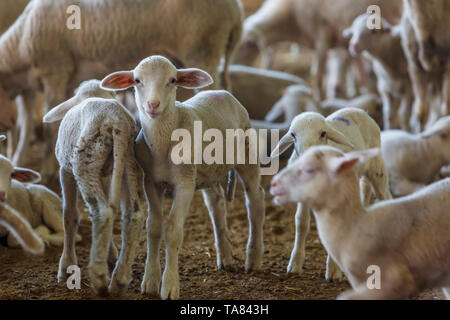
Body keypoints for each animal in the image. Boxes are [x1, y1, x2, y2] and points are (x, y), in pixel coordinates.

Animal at [0, 0, 243, 180]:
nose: (8, 123)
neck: (20, 43)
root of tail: (236, 12)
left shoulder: (55, 72)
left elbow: (49, 127)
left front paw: (48, 170)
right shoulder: (35, 85)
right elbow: (27, 124)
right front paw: (18, 157)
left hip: (203, 48)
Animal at [100, 54, 266, 300]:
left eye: (172, 80)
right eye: (137, 80)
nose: (153, 105)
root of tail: (221, 92)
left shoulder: (185, 184)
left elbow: (172, 231)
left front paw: (169, 285)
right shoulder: (151, 182)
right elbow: (154, 227)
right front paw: (150, 281)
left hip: (246, 153)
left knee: (255, 200)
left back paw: (253, 258)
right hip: (207, 171)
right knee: (216, 202)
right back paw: (226, 257)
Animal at [268, 108, 392, 280]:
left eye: (323, 133)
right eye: (293, 135)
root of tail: (359, 110)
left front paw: (333, 271)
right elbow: (301, 222)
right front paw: (295, 264)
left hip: (377, 170)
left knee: (386, 197)